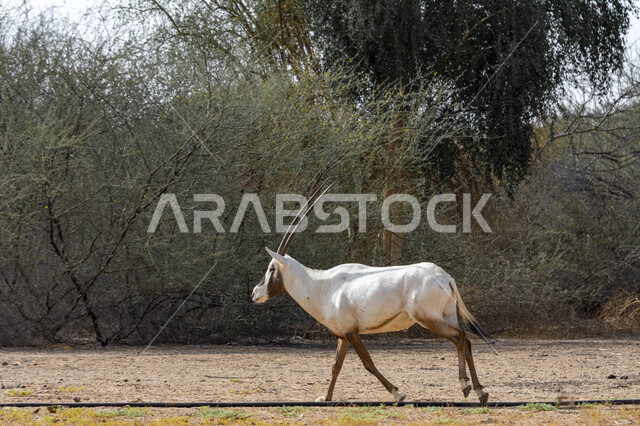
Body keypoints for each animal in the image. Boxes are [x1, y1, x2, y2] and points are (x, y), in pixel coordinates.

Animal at [251, 182, 490, 405]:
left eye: (271, 268)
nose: (255, 293)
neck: (321, 285)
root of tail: (445, 277)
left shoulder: (352, 333)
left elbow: (368, 363)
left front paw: (398, 393)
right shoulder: (344, 335)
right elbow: (336, 365)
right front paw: (326, 398)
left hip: (428, 318)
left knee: (460, 337)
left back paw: (469, 387)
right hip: (446, 315)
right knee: (464, 341)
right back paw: (477, 391)